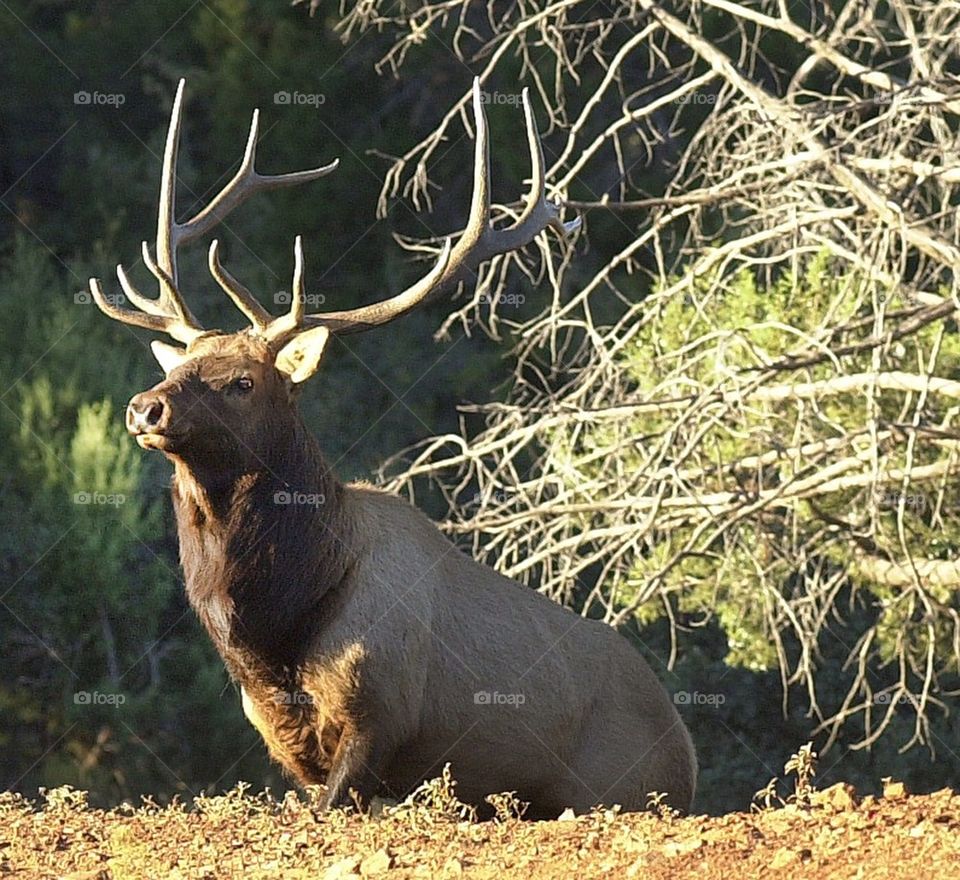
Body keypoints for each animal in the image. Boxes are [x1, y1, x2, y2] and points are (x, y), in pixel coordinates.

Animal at [90, 79, 696, 816]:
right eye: (180, 365)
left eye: (243, 382)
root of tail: (687, 748)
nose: (145, 406)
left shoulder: (381, 714)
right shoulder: (286, 741)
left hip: (617, 787)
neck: (275, 633)